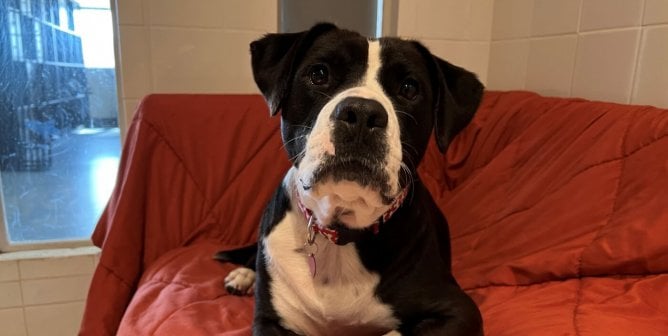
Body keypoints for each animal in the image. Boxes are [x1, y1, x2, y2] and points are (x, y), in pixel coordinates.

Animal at [219, 23, 486, 336]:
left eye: (409, 88)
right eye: (319, 74)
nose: (361, 113)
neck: (340, 232)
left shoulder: (459, 310)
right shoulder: (269, 320)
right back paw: (243, 274)